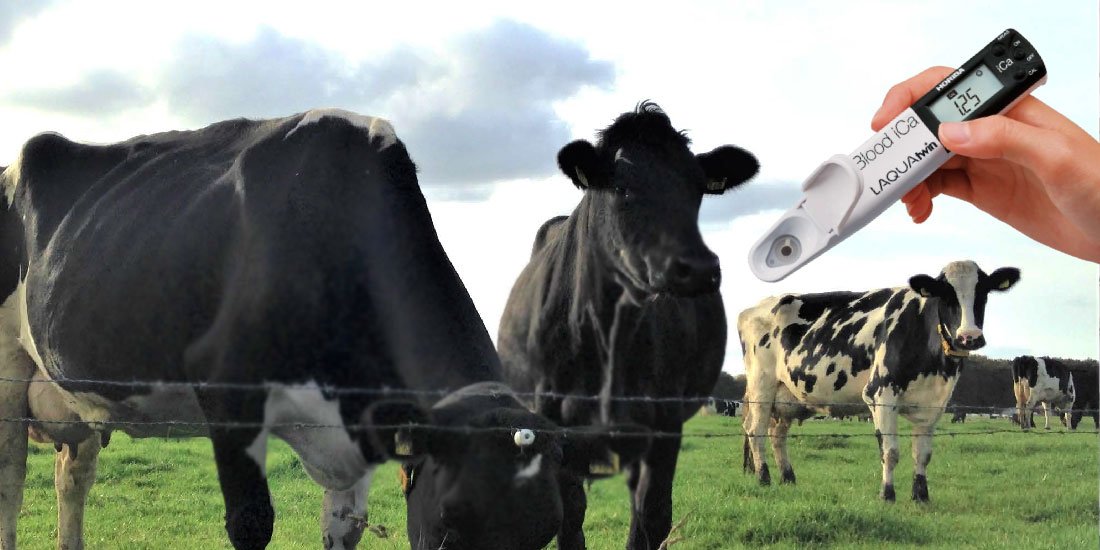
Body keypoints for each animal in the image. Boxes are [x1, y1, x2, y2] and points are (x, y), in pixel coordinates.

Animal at [0, 109, 634, 550]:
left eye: (544, 535)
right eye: (450, 530)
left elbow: (343, 527)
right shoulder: (229, 391)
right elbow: (251, 523)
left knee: (71, 479)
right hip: (7, 374)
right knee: (10, 482)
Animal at [497, 101, 759, 549]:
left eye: (698, 188)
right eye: (621, 187)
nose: (697, 268)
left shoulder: (663, 422)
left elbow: (651, 517)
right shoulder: (554, 421)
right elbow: (570, 516)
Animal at [738, 260, 1020, 502]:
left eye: (983, 293)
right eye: (945, 295)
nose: (969, 337)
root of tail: (754, 308)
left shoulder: (934, 403)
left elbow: (923, 453)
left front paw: (921, 495)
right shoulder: (880, 393)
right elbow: (890, 451)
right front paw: (887, 494)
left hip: (786, 397)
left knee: (777, 434)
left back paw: (788, 477)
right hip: (762, 388)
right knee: (755, 431)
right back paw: (764, 477)